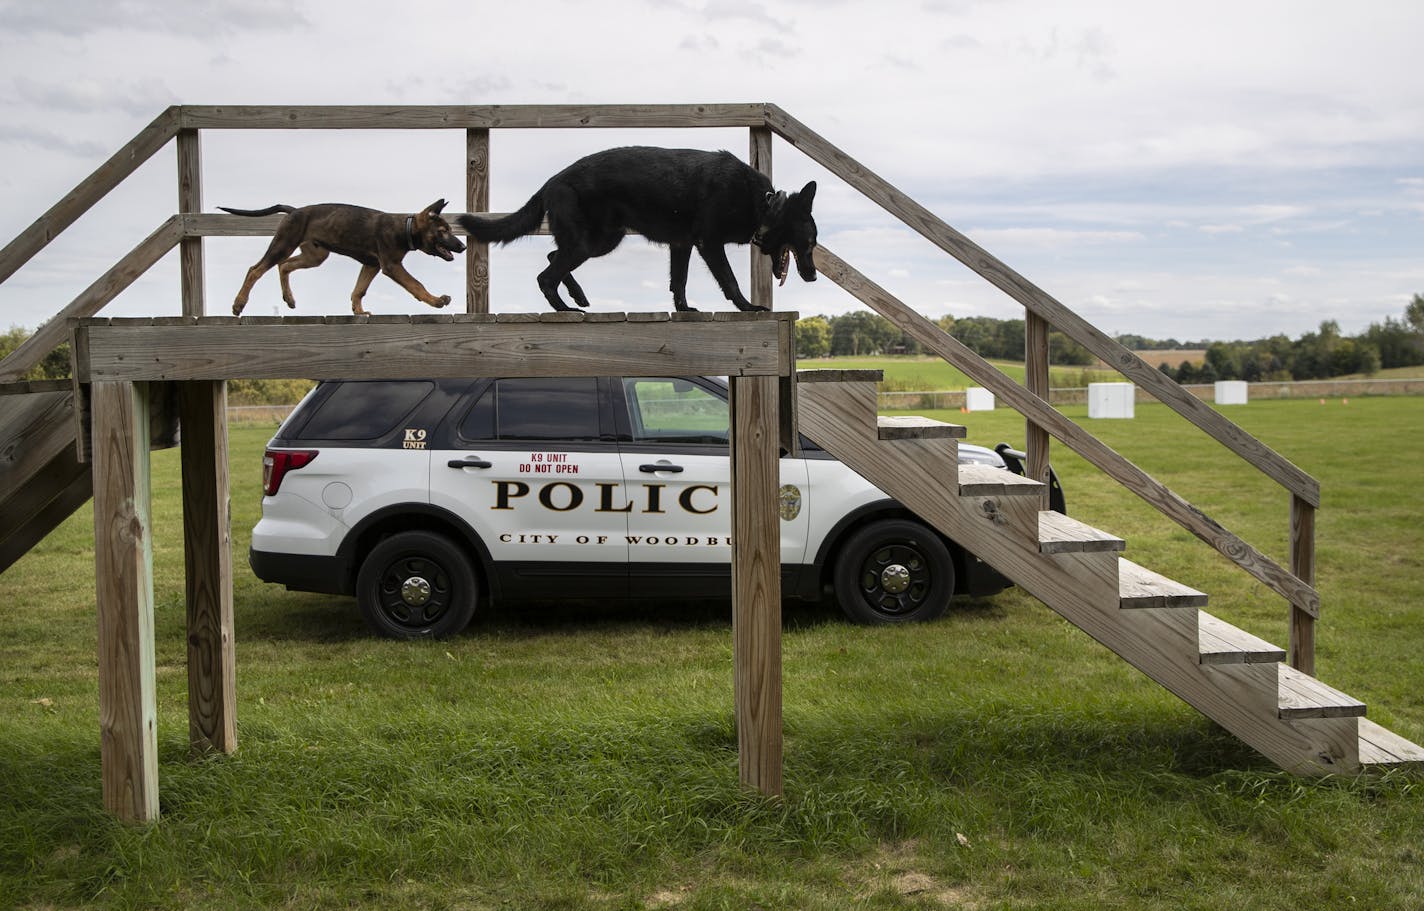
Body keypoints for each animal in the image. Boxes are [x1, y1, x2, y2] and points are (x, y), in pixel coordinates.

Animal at [220, 200, 467, 316]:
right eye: (443, 231)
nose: (463, 246)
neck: (404, 229)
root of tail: (294, 210)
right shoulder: (391, 265)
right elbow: (416, 284)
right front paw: (436, 300)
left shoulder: (371, 264)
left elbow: (359, 290)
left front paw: (358, 311)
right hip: (284, 243)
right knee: (256, 269)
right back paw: (239, 304)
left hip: (315, 255)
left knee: (284, 266)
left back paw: (289, 298)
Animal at [455, 143, 814, 311]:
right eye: (810, 242)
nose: (811, 277)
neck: (764, 204)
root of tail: (553, 180)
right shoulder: (709, 243)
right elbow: (729, 280)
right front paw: (748, 307)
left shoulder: (682, 245)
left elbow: (679, 282)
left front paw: (684, 310)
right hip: (589, 243)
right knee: (546, 275)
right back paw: (565, 309)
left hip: (601, 241)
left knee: (552, 258)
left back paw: (578, 296)